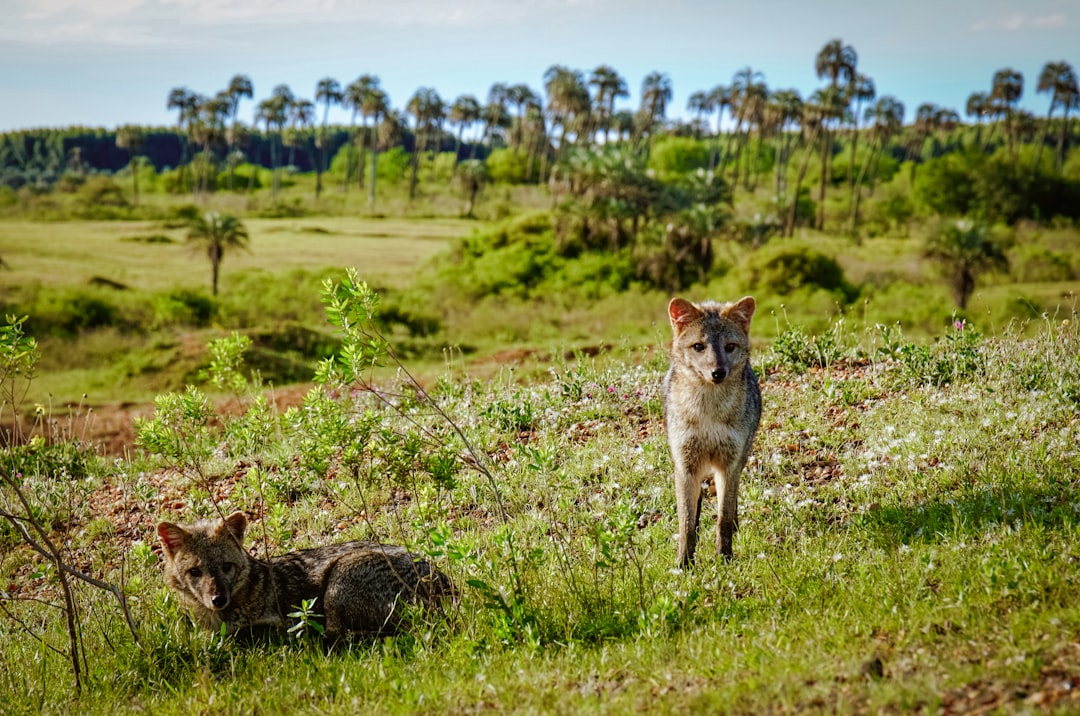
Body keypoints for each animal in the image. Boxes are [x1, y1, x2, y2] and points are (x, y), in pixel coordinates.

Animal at [660, 293, 764, 570]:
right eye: (699, 347)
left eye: (729, 347)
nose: (718, 372)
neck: (708, 414)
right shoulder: (685, 466)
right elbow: (686, 523)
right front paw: (684, 564)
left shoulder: (729, 465)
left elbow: (723, 519)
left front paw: (724, 558)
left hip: (739, 459)